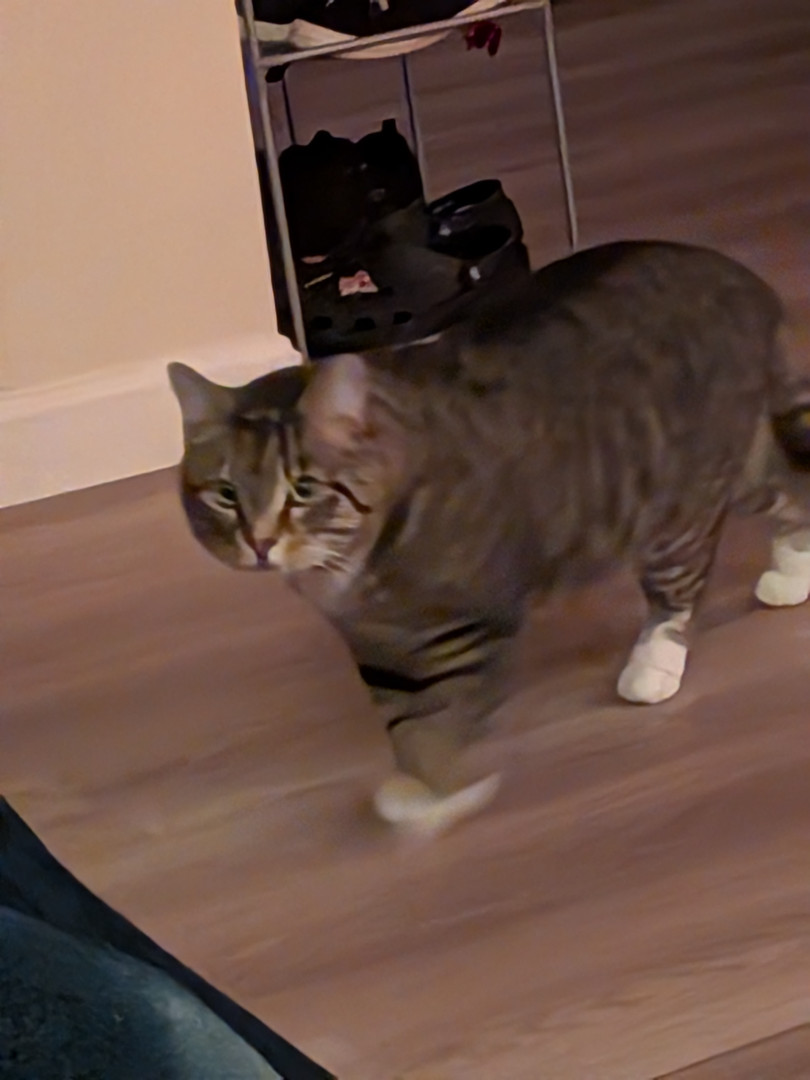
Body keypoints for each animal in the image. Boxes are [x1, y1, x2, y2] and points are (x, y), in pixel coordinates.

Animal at [169, 241, 810, 834]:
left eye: (302, 488)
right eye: (225, 493)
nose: (259, 542)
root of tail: (743, 279)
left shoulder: (466, 630)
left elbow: (436, 723)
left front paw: (431, 797)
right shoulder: (375, 647)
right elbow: (401, 717)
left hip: (677, 502)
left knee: (680, 585)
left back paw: (654, 663)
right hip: (738, 465)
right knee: (791, 490)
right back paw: (791, 572)